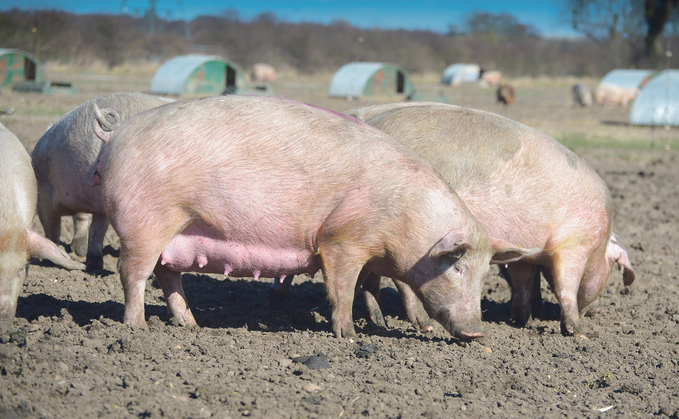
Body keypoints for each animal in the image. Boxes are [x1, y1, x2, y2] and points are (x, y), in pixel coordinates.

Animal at [93, 94, 540, 342]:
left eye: (485, 275)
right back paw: (137, 329)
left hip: (178, 232)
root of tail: (115, 135)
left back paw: (192, 327)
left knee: (169, 276)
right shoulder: (341, 241)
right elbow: (341, 289)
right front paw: (347, 335)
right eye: (458, 267)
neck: (405, 221)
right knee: (132, 273)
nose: (477, 331)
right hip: (143, 222)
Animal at [348, 102, 640, 338]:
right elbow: (565, 287)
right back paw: (423, 325)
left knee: (372, 274)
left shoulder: (525, 252)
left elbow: (524, 283)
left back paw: (379, 322)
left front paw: (521, 322)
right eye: (612, 267)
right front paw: (579, 334)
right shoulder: (573, 244)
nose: (597, 311)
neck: (599, 241)